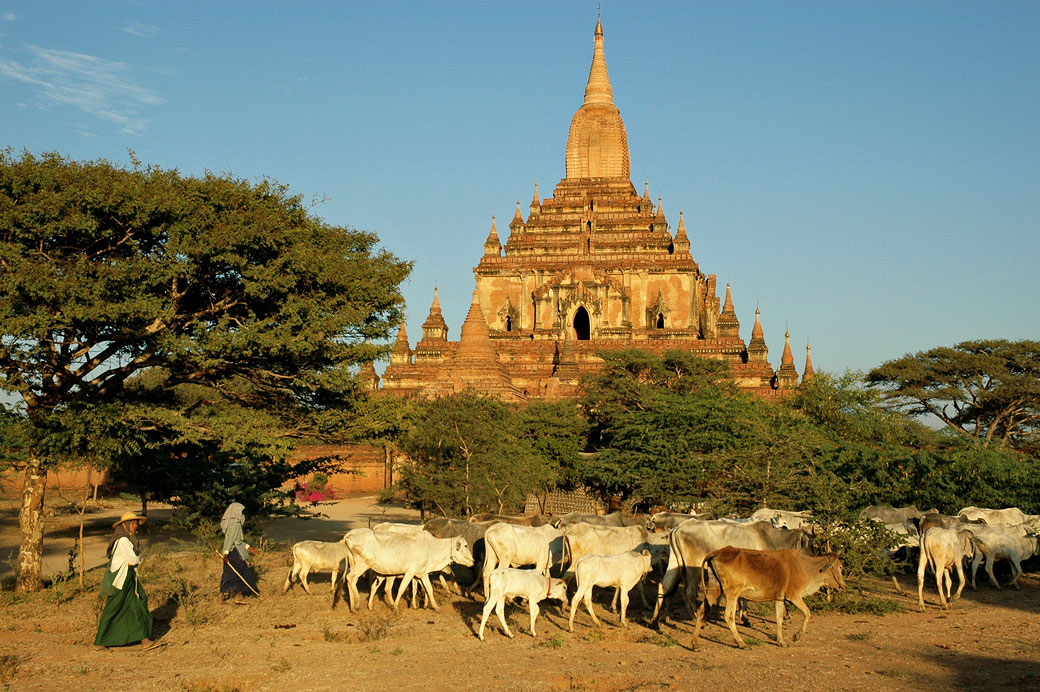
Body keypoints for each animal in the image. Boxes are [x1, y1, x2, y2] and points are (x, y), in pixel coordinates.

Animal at [690, 545, 844, 649]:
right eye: (840, 567)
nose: (843, 585)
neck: (804, 567)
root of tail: (717, 552)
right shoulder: (793, 596)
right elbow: (807, 613)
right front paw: (797, 636)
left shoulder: (779, 598)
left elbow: (779, 619)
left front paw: (782, 641)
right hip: (732, 593)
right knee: (728, 616)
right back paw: (742, 643)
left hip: (714, 588)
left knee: (702, 611)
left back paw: (694, 644)